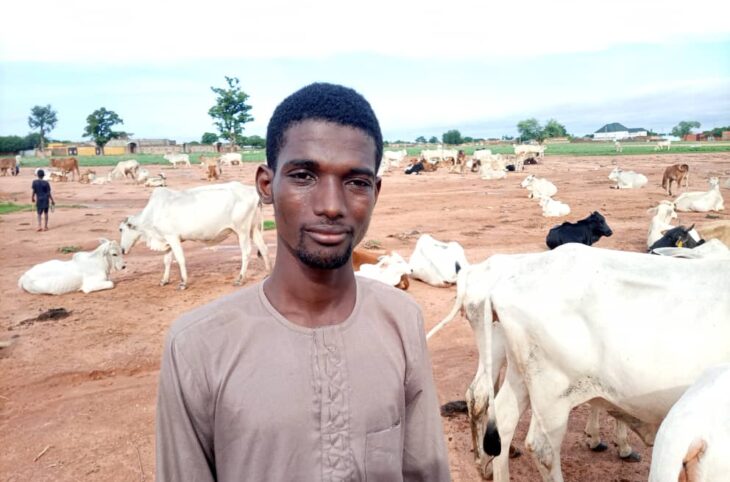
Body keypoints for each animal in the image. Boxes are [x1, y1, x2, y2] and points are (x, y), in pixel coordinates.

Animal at [119, 180, 270, 286]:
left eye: (122, 229)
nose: (122, 249)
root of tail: (252, 190)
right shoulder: (167, 240)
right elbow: (167, 261)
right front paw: (164, 280)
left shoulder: (173, 237)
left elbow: (180, 259)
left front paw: (183, 282)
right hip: (253, 229)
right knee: (263, 249)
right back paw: (268, 273)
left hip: (242, 230)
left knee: (246, 252)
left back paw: (240, 278)